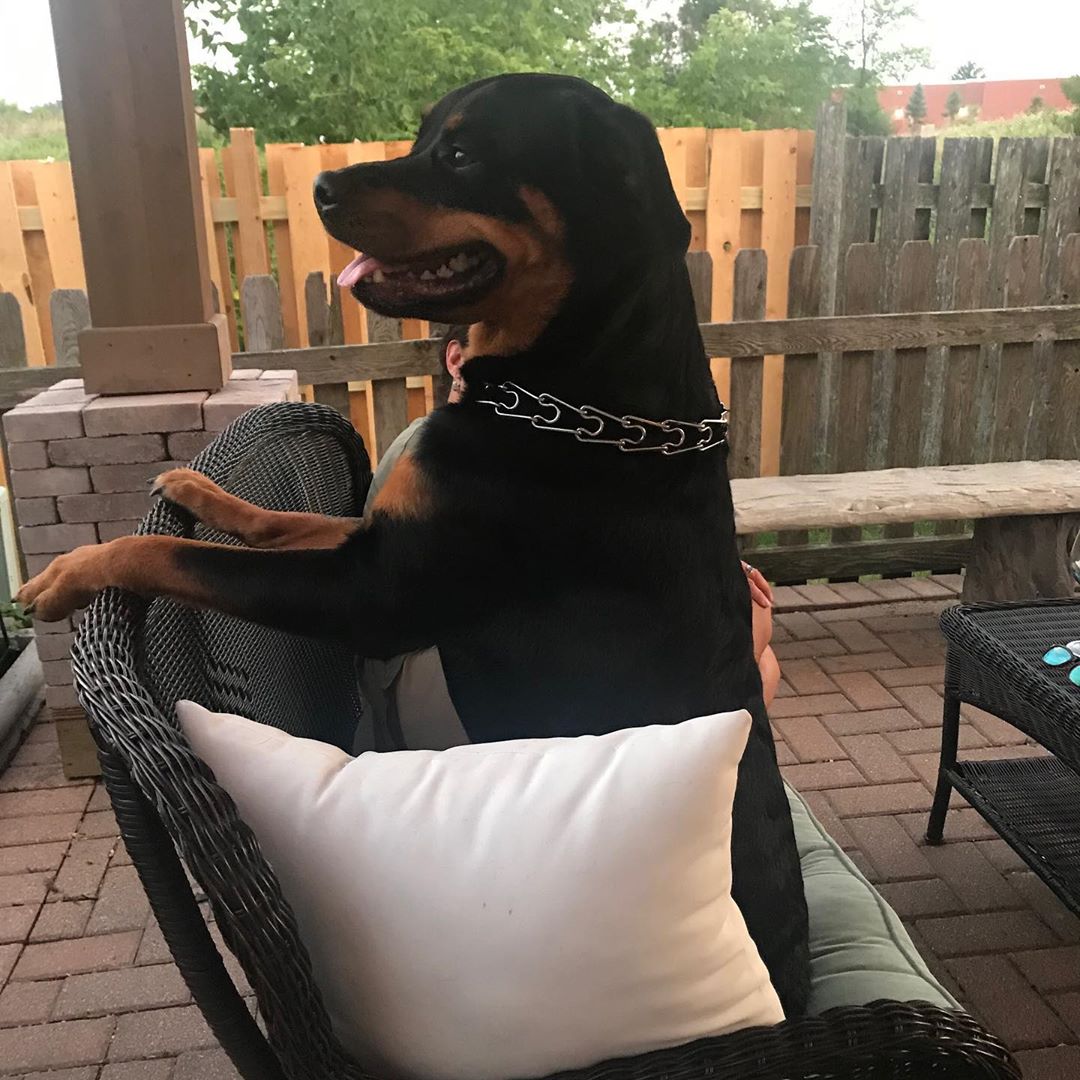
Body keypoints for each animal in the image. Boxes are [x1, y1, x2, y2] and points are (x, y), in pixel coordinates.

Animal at [19, 71, 812, 1015]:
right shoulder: (379, 540)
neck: (577, 399)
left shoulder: (376, 595)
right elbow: (278, 524)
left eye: (461, 152)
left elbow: (186, 557)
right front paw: (196, 488)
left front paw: (72, 571)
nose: (323, 189)